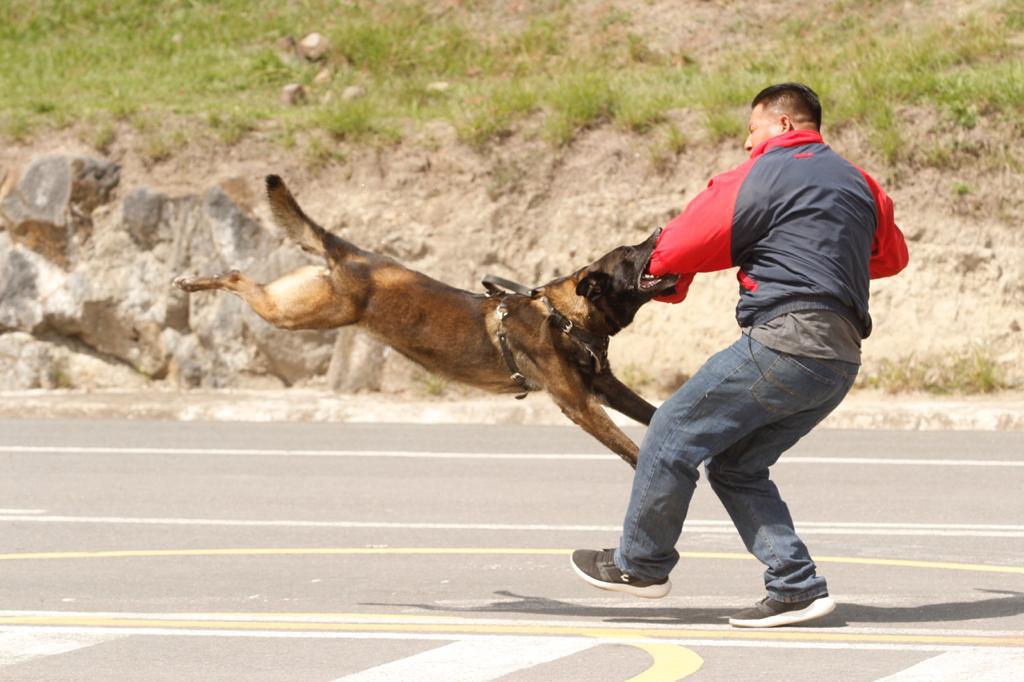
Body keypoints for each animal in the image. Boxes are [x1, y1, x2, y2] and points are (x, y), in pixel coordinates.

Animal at [172, 174, 675, 466]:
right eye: (629, 254)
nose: (660, 230)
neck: (564, 316)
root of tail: (355, 256)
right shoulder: (580, 405)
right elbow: (629, 447)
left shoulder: (605, 387)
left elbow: (652, 414)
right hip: (300, 313)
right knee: (237, 276)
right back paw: (193, 282)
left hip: (302, 301)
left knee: (242, 276)